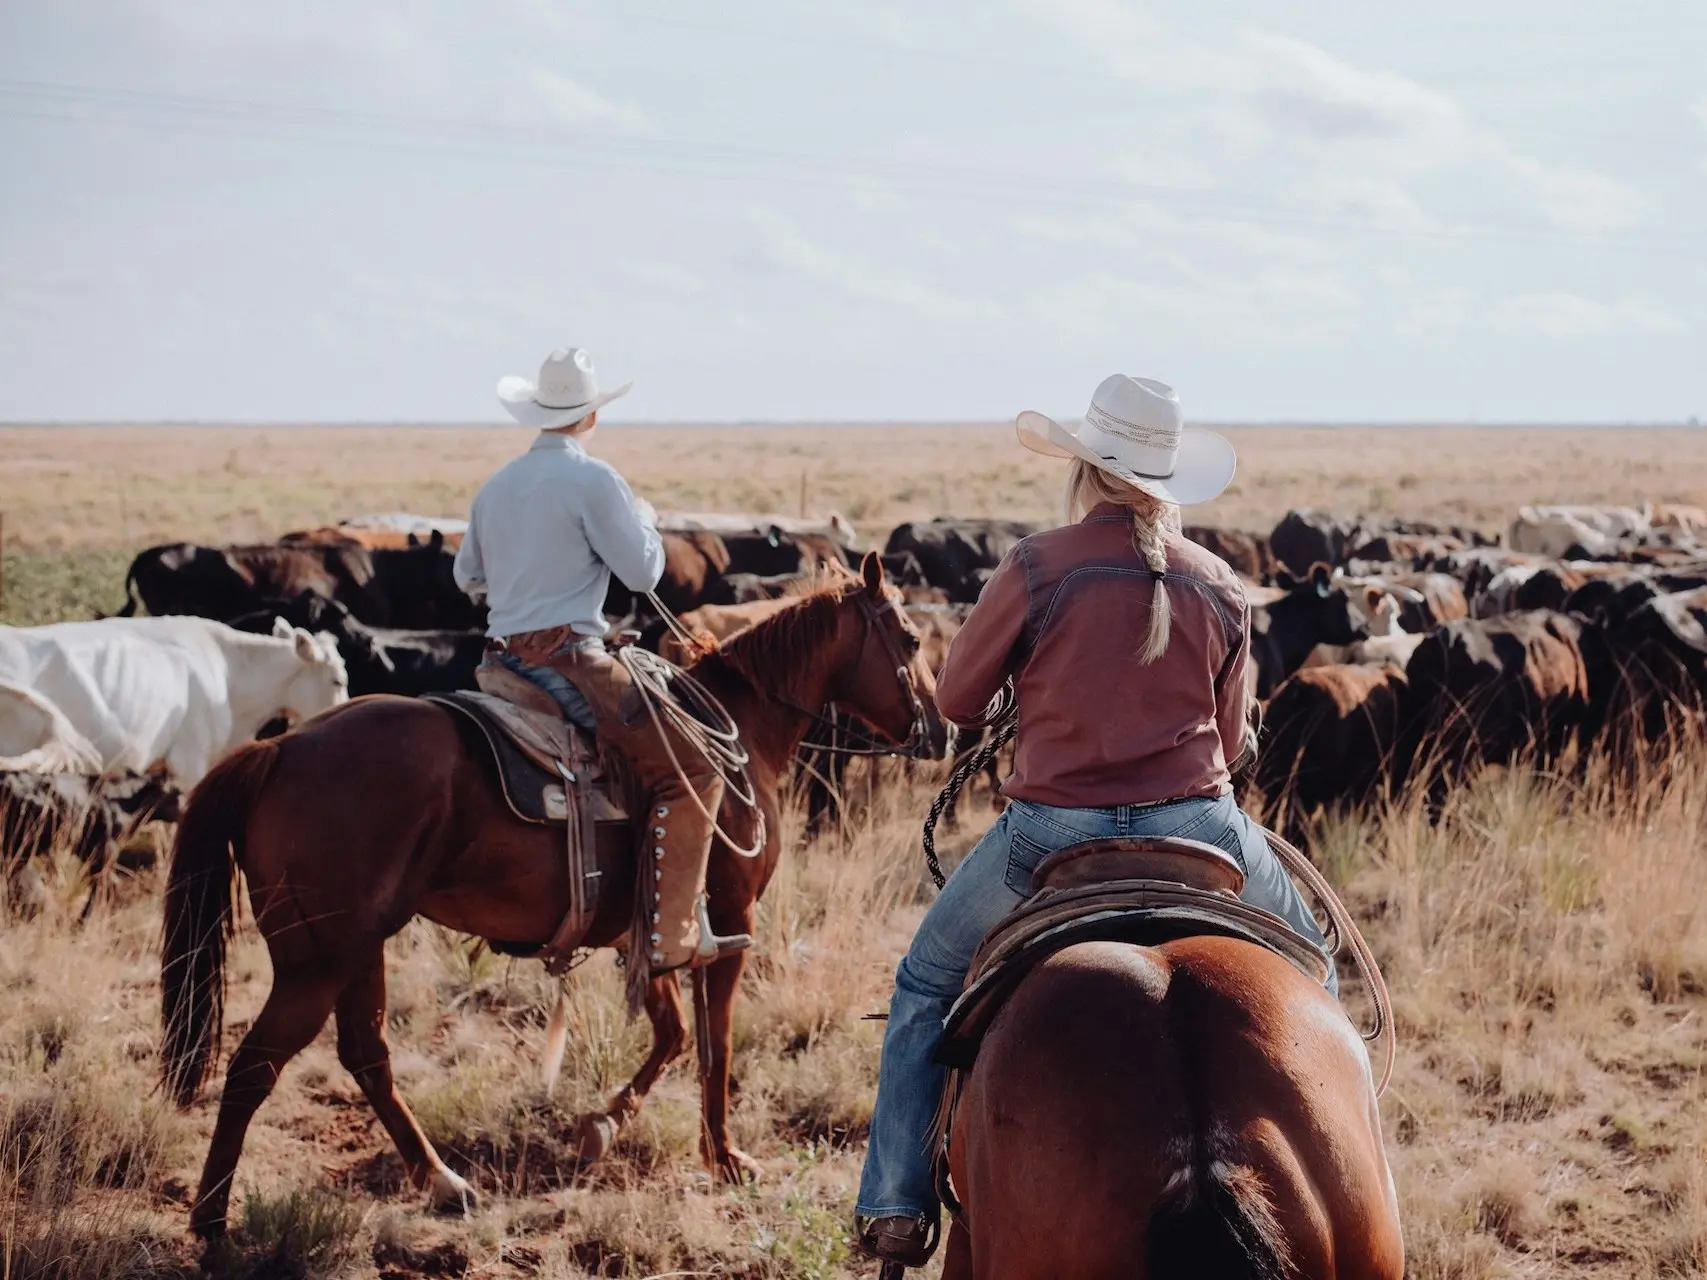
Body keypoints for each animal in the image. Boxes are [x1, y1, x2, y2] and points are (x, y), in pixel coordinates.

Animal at [160, 556, 935, 1235]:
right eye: (912, 638)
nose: (942, 725)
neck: (741, 729)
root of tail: (279, 750)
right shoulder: (726, 918)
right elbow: (714, 1043)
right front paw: (723, 1156)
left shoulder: (645, 928)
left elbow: (673, 1032)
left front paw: (601, 1126)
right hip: (315, 961)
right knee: (254, 1067)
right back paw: (212, 1222)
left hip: (358, 946)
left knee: (365, 1051)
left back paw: (443, 1182)